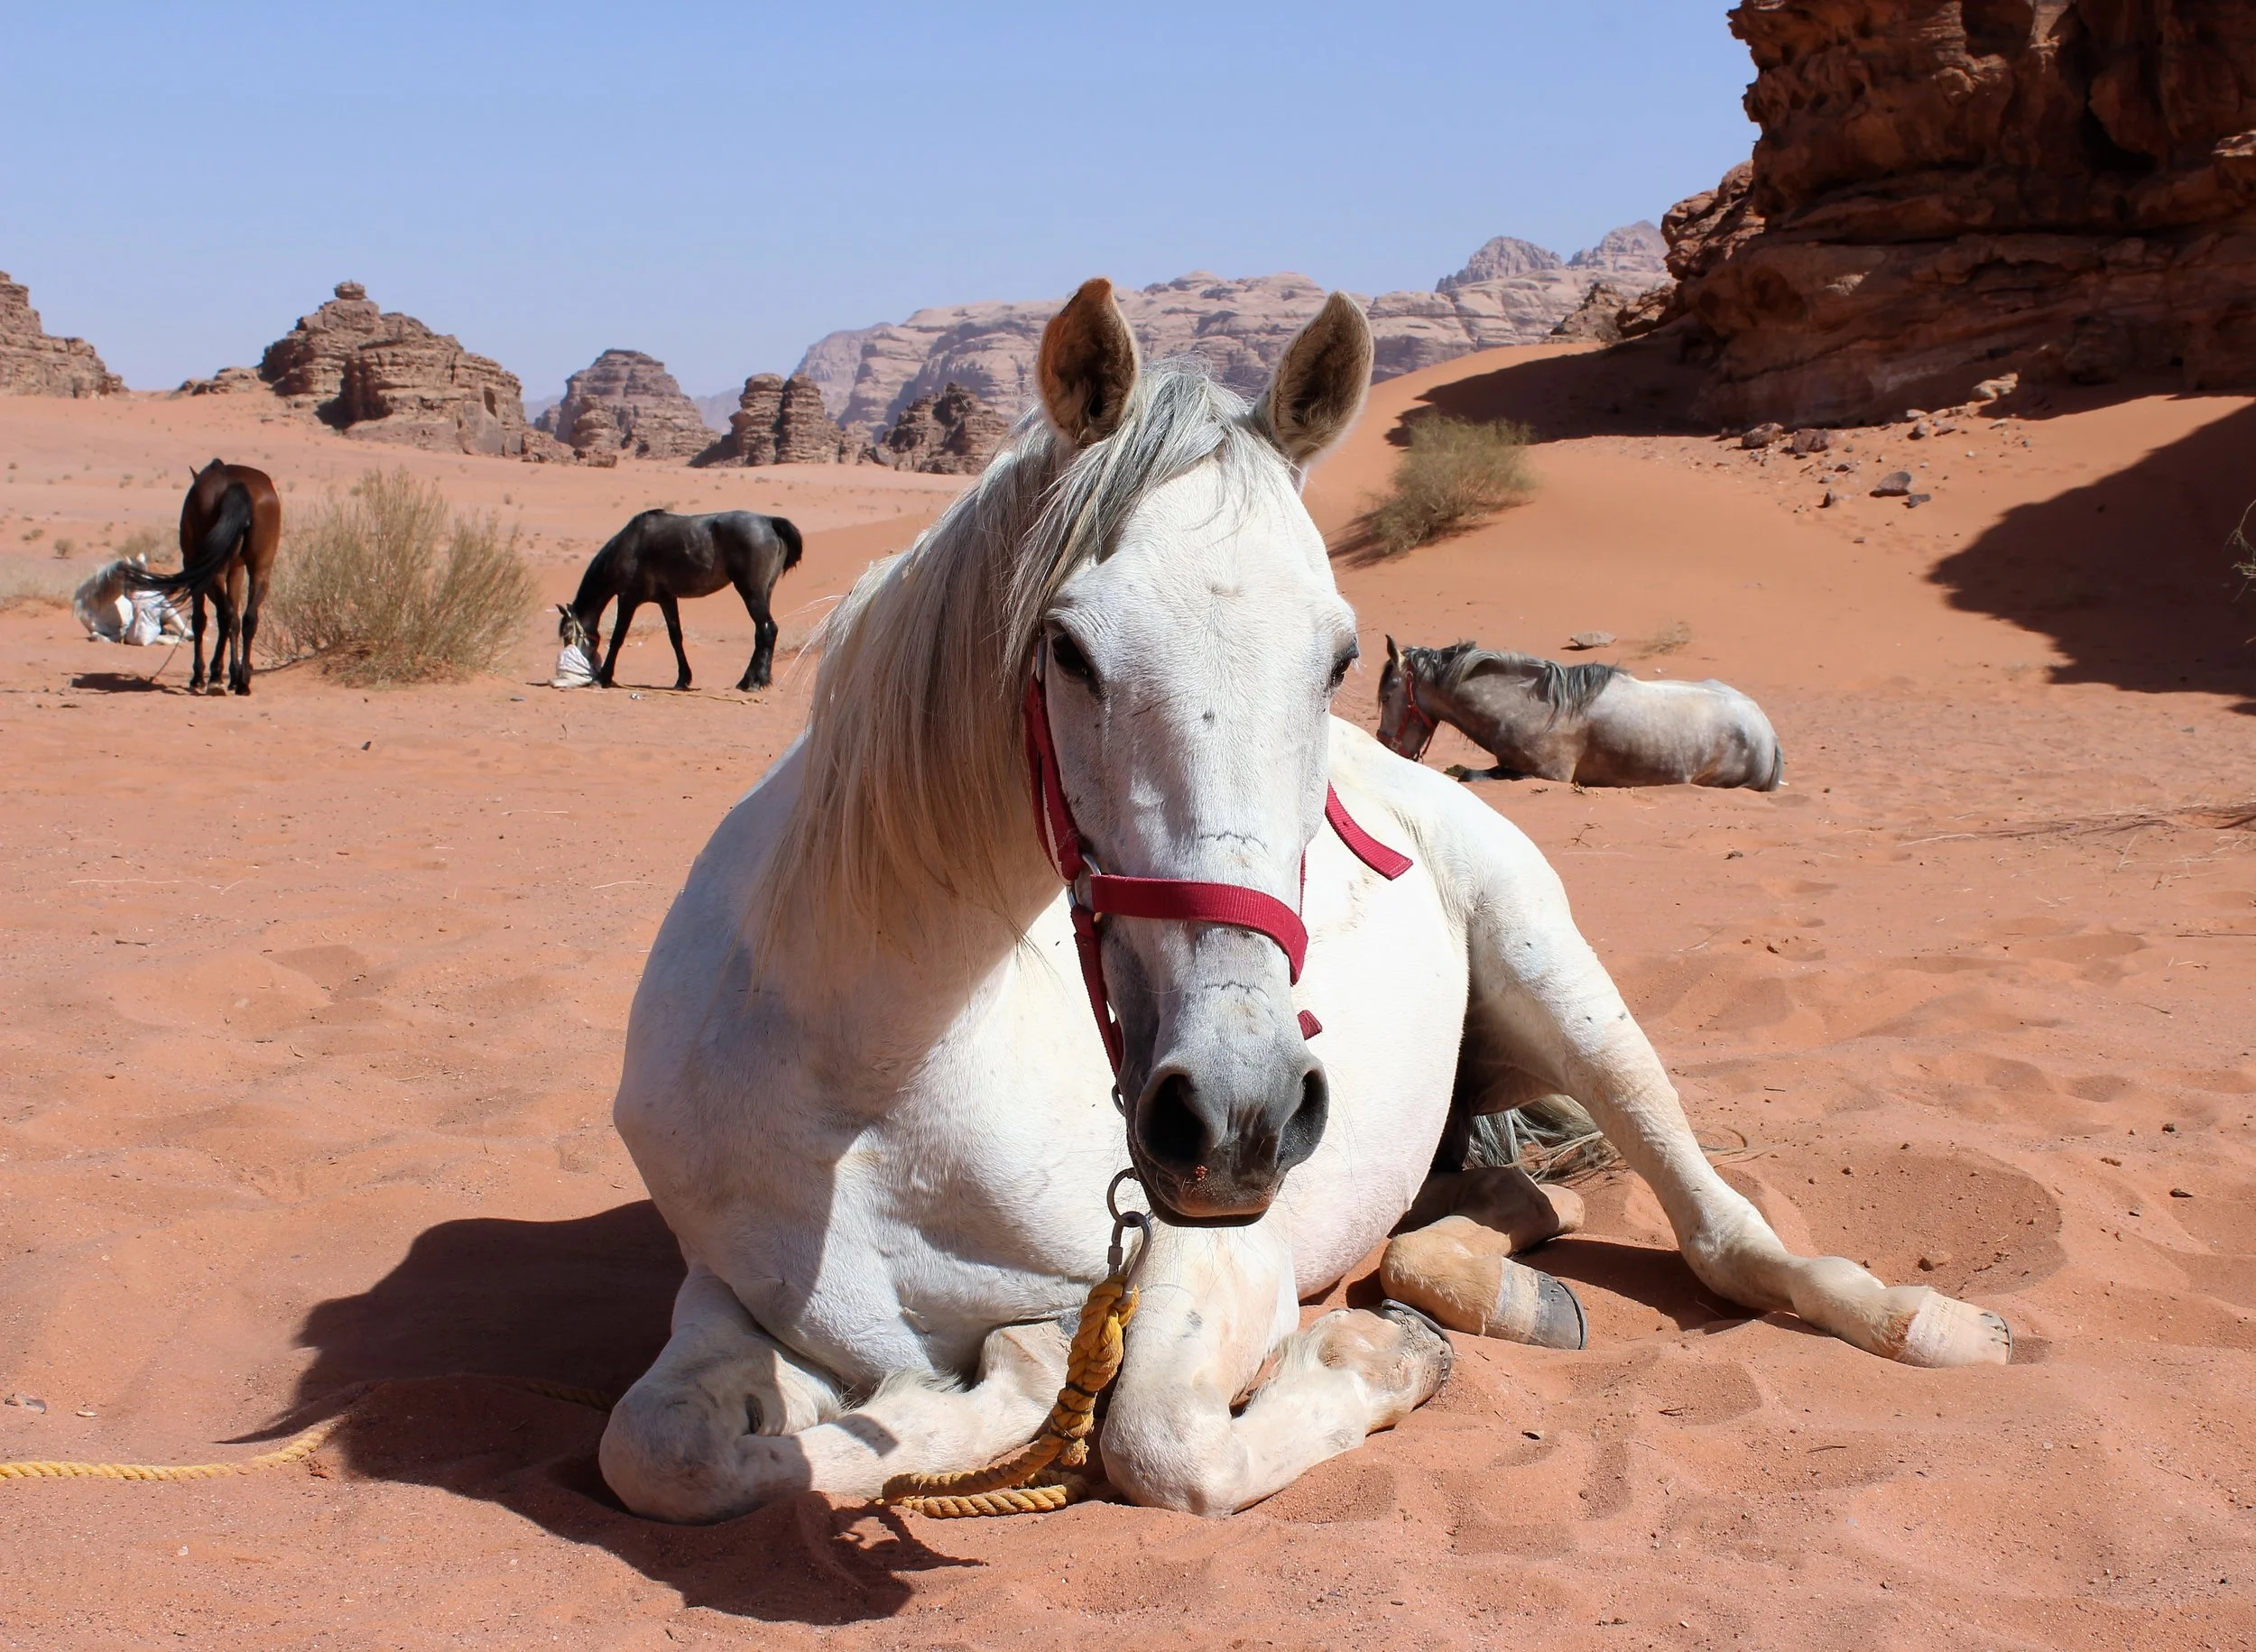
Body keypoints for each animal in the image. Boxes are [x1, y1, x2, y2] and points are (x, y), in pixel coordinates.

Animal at [124, 459, 282, 694]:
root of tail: (237, 488)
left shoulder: (197, 571)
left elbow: (200, 620)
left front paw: (199, 676)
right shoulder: (236, 570)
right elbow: (236, 619)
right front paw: (234, 676)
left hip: (213, 572)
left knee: (224, 615)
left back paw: (214, 676)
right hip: (261, 569)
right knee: (247, 618)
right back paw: (243, 682)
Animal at [557, 509, 802, 692]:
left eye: (568, 634)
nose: (565, 669)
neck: (627, 546)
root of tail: (769, 521)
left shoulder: (627, 599)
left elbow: (617, 637)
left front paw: (604, 677)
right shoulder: (667, 600)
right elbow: (676, 638)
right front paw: (683, 679)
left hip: (750, 592)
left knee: (766, 630)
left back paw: (753, 682)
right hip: (764, 592)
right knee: (765, 632)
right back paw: (754, 679)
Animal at [1377, 639, 1785, 790]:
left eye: (1387, 694)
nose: (1386, 748)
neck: (1530, 707)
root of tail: (1766, 729)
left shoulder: (1546, 775)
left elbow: (1469, 775)